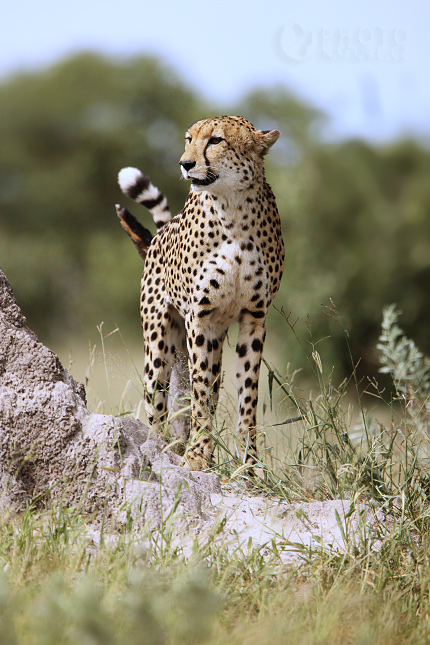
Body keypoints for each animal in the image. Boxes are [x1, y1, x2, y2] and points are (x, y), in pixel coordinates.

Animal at [116, 114, 284, 468]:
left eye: (216, 140)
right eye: (188, 139)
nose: (185, 163)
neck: (233, 211)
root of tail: (161, 234)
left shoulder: (254, 318)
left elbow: (247, 396)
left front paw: (248, 466)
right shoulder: (200, 318)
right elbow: (199, 394)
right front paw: (196, 457)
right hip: (158, 344)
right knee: (157, 405)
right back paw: (160, 449)